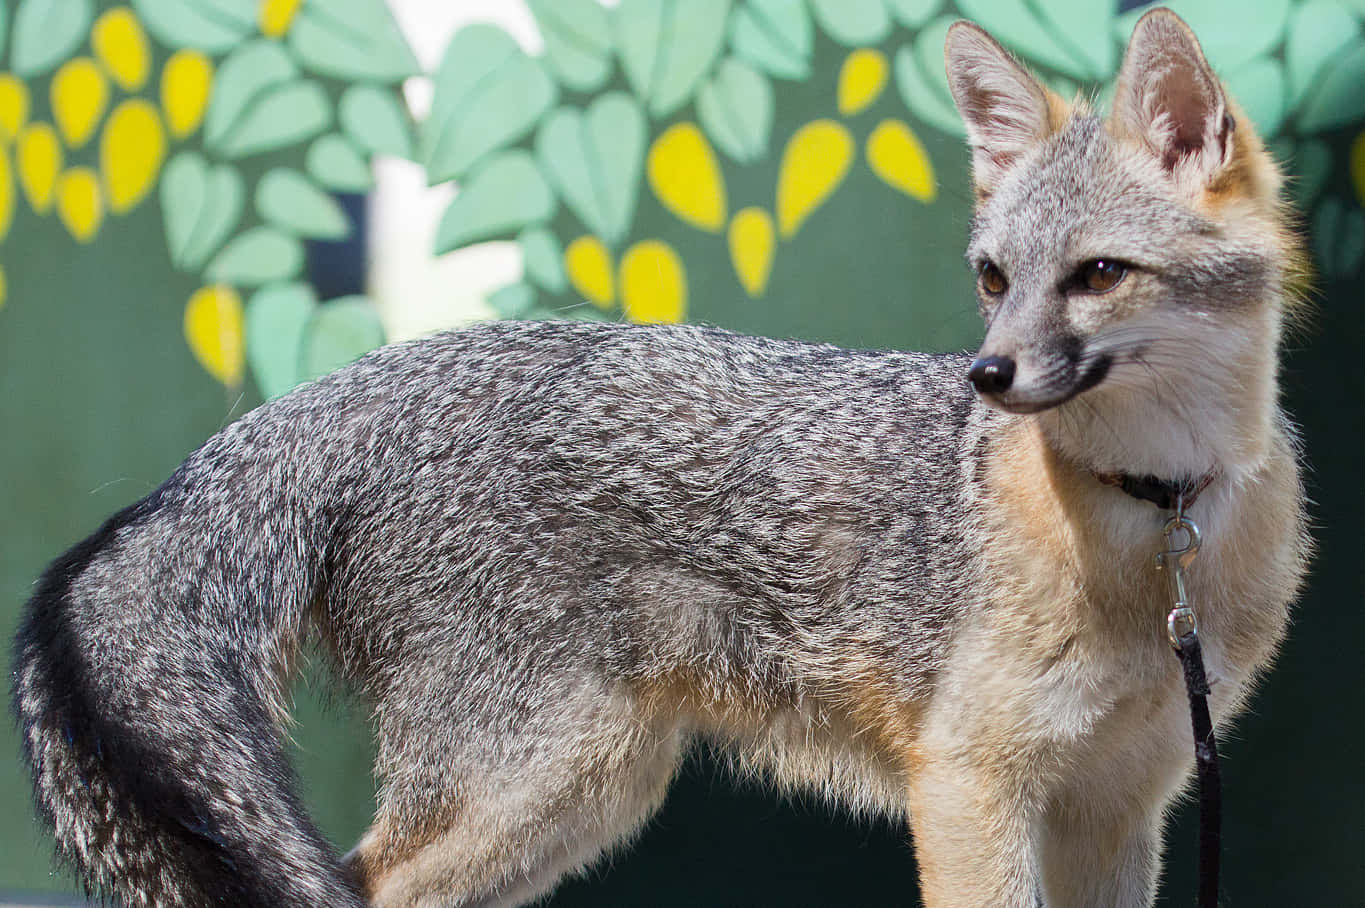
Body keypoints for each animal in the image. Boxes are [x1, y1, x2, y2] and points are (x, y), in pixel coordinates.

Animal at [12, 8, 1309, 908]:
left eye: (1097, 274)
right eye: (994, 278)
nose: (985, 377)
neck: (1157, 519)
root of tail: (376, 376)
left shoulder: (1117, 802)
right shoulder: (971, 786)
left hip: (581, 795)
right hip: (540, 776)